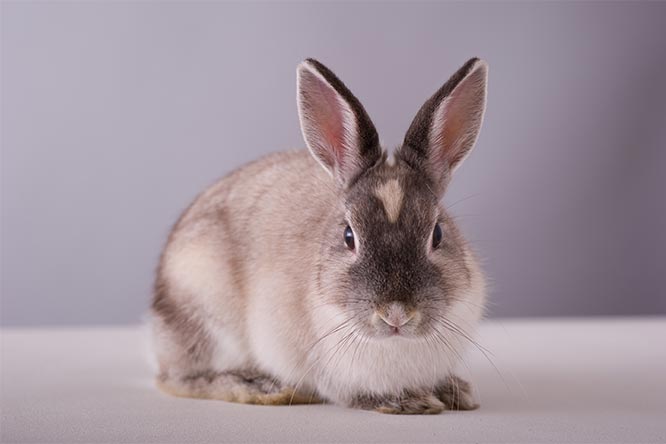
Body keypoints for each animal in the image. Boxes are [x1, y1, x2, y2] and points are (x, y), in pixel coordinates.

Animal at [150, 57, 488, 414]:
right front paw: (410, 401)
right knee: (179, 379)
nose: (396, 314)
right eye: (349, 236)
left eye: (437, 234)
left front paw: (456, 392)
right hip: (203, 312)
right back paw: (260, 387)